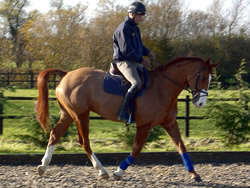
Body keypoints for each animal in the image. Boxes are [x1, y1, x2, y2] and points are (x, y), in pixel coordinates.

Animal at [36, 56, 217, 181]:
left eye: (210, 79)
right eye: (202, 77)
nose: (200, 103)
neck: (162, 88)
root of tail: (66, 74)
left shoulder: (170, 123)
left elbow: (181, 147)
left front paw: (194, 174)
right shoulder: (144, 125)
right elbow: (136, 150)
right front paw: (118, 172)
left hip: (68, 115)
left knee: (55, 135)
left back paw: (43, 166)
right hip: (81, 115)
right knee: (84, 142)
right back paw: (102, 171)